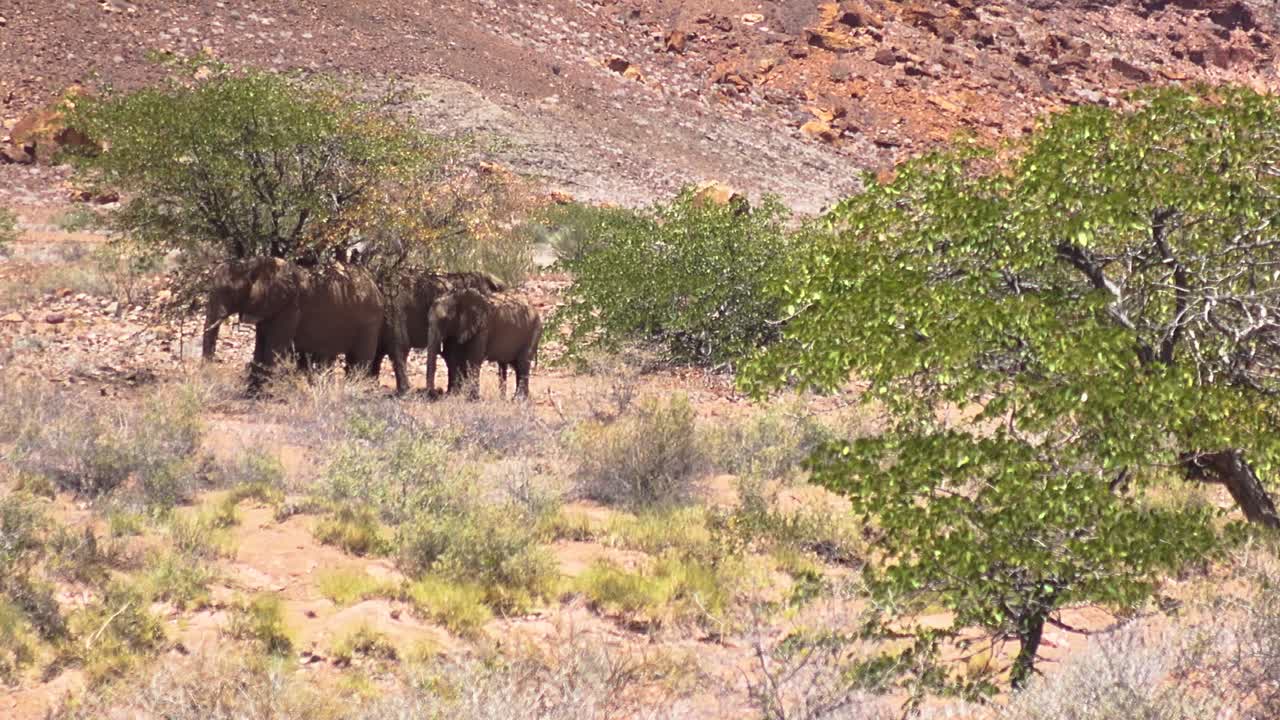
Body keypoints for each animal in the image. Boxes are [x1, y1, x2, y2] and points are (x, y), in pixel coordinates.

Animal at [202, 257, 393, 391]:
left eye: (229, 292)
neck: (254, 263)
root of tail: (375, 285)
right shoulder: (268, 307)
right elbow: (261, 345)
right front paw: (252, 393)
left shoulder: (290, 307)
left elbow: (274, 347)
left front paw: (262, 395)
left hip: (369, 321)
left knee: (360, 359)